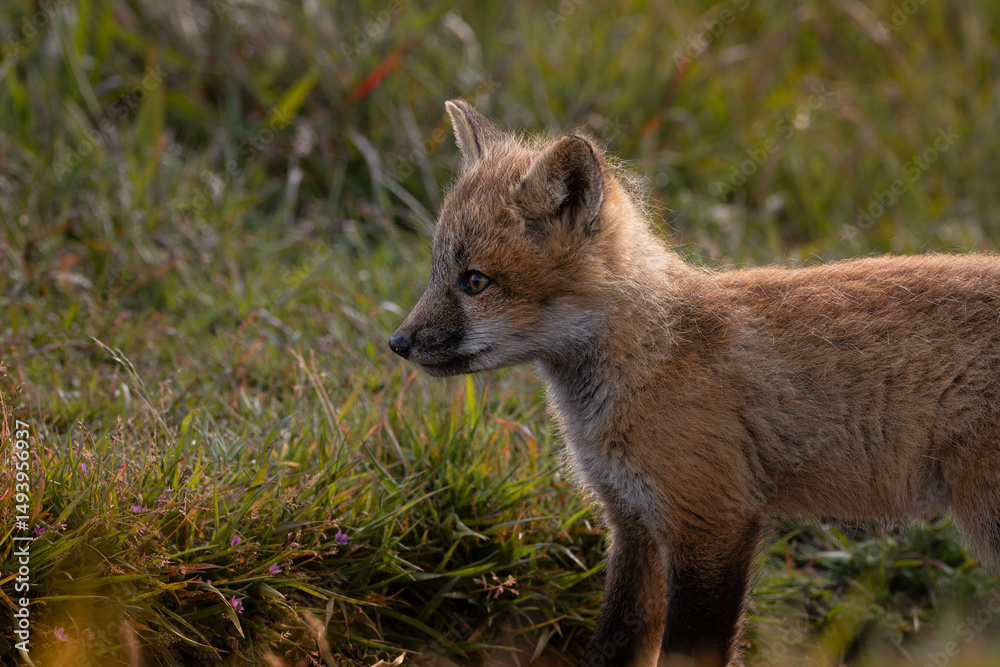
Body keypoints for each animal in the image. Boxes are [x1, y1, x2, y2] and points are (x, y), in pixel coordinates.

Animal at [388, 99, 1000, 667]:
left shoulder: (712, 522)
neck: (652, 360)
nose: (396, 343)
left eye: (475, 282)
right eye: (437, 273)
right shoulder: (633, 523)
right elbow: (613, 640)